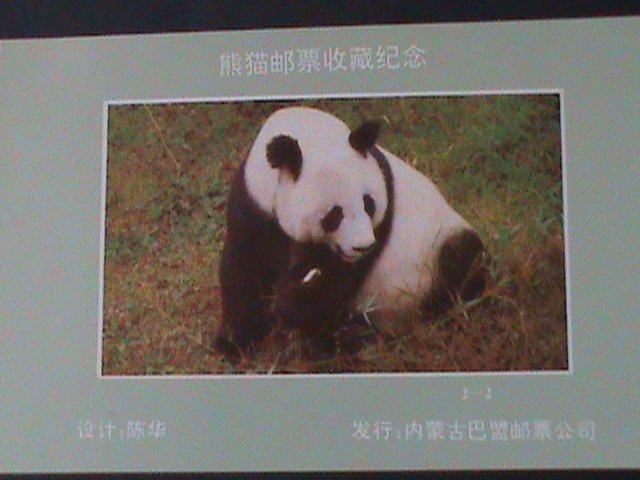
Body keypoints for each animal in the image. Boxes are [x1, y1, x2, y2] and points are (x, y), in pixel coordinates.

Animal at [216, 106, 487, 356]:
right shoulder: (253, 203)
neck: (309, 133)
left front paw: (290, 304)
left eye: (369, 204)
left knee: (462, 263)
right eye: (334, 215)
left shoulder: (379, 217)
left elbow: (333, 287)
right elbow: (244, 268)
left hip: (436, 248)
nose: (362, 246)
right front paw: (235, 342)